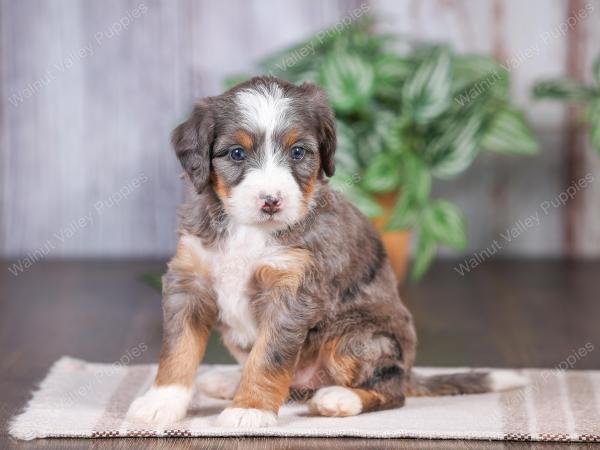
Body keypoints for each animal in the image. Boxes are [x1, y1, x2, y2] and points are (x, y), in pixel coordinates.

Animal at [127, 75, 524, 428]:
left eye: (298, 151)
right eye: (237, 153)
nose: (271, 201)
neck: (248, 231)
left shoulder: (291, 292)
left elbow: (268, 357)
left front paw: (250, 409)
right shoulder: (189, 280)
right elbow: (178, 349)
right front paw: (162, 402)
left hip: (358, 338)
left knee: (392, 389)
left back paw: (339, 398)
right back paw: (229, 381)